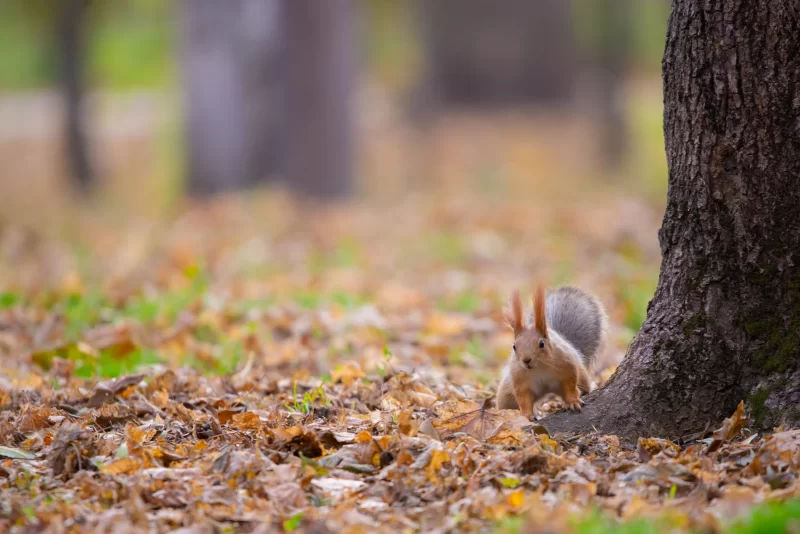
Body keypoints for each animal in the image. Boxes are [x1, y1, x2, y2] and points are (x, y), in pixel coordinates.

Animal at [496, 284, 608, 420]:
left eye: (541, 343)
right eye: (514, 346)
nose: (526, 360)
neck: (539, 367)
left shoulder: (566, 365)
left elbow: (570, 385)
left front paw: (573, 402)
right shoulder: (520, 379)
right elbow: (523, 399)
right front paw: (527, 416)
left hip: (581, 376)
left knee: (582, 387)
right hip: (506, 395)